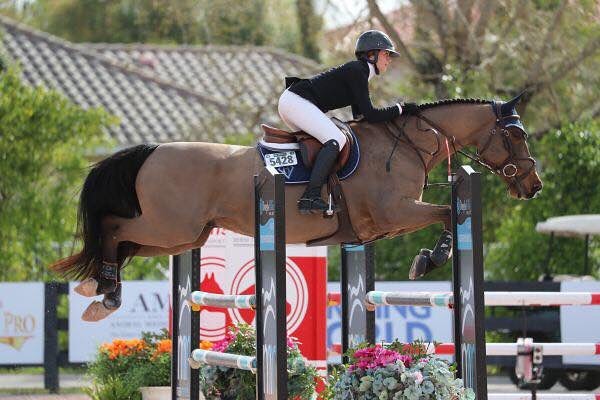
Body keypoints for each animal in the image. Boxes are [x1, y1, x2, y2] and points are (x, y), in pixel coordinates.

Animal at [48, 94, 544, 322]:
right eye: (515, 135)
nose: (534, 185)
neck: (409, 144)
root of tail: (153, 150)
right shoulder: (396, 212)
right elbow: (445, 215)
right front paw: (430, 259)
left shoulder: (383, 226)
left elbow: (445, 215)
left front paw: (427, 257)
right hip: (170, 226)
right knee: (113, 229)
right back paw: (104, 291)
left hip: (183, 235)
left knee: (121, 240)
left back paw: (100, 290)